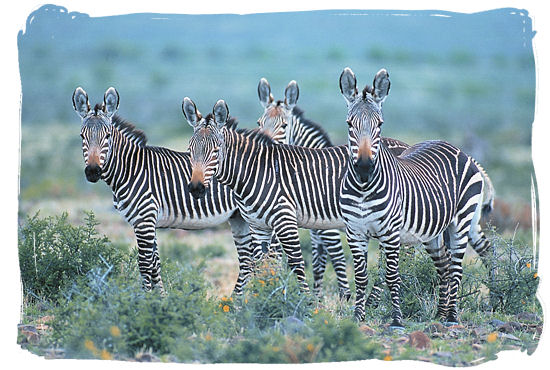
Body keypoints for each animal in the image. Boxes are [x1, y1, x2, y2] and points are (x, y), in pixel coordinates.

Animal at [72, 87, 256, 294]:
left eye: (108, 136)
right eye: (82, 136)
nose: (93, 171)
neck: (131, 170)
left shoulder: (144, 219)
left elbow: (145, 264)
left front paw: (145, 299)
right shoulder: (145, 221)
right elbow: (155, 264)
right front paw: (160, 298)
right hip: (239, 218)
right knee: (247, 262)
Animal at [340, 67, 492, 326]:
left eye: (380, 124)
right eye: (350, 124)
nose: (364, 167)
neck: (363, 189)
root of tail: (457, 148)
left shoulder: (390, 233)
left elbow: (392, 276)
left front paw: (396, 319)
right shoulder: (355, 232)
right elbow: (360, 277)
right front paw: (358, 318)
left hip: (461, 221)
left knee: (456, 270)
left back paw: (452, 317)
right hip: (433, 232)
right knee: (444, 267)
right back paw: (439, 314)